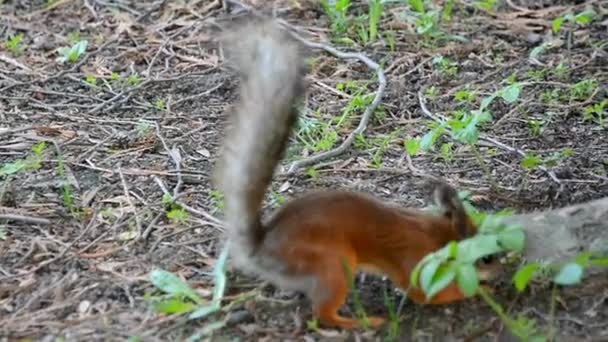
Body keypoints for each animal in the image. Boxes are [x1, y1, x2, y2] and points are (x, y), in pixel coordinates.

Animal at [214, 17, 484, 330]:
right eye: (485, 258)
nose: (503, 270)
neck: (435, 233)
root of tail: (261, 251)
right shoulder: (415, 263)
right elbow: (425, 294)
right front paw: (479, 289)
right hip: (333, 266)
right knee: (322, 313)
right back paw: (362, 322)